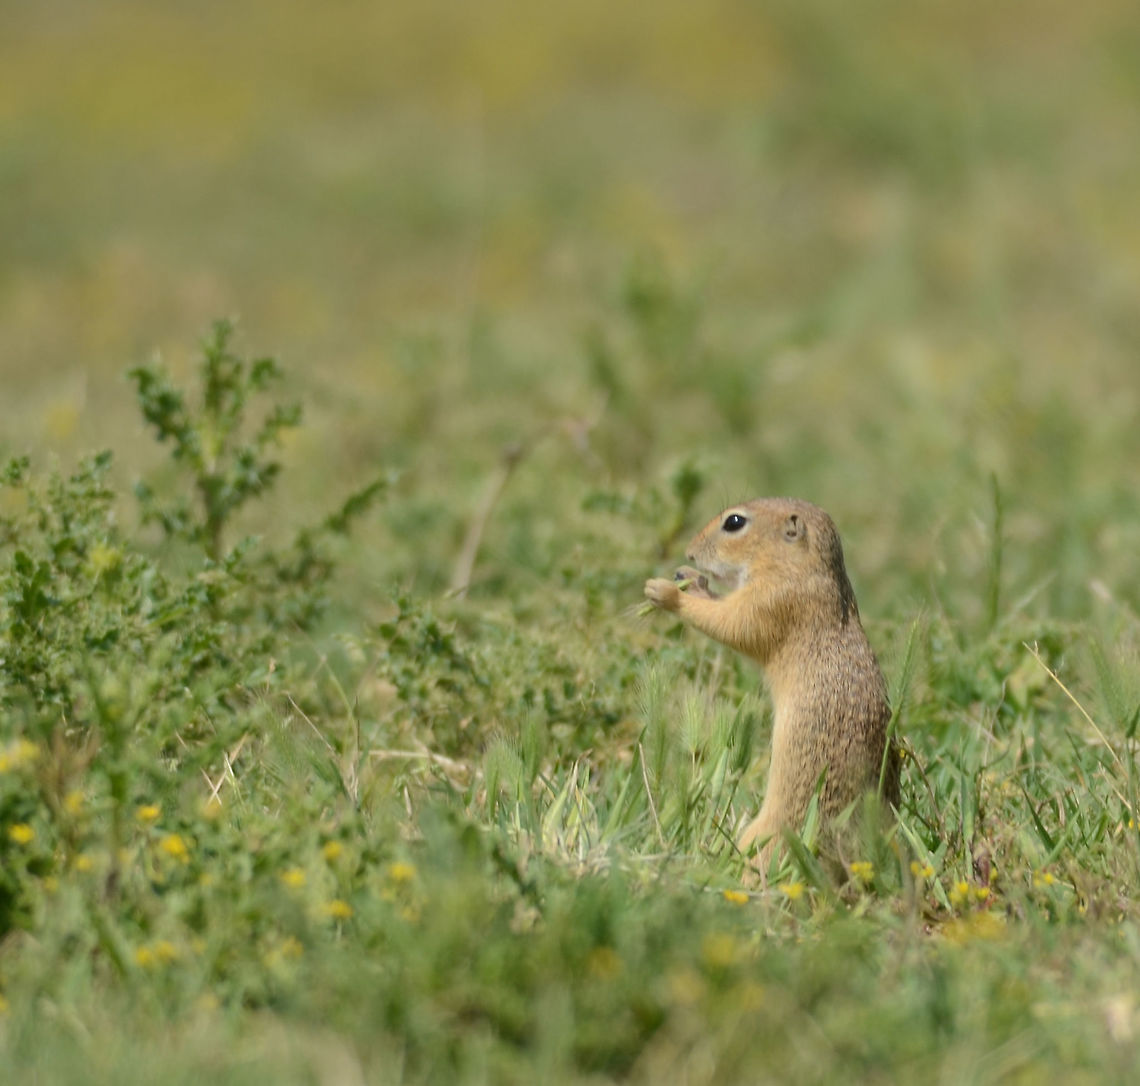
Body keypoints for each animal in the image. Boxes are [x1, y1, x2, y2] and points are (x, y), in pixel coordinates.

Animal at [643, 497, 898, 876]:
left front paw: (665, 592)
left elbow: (731, 622)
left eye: (734, 522)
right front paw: (689, 579)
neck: (802, 566)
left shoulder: (772, 600)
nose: (689, 553)